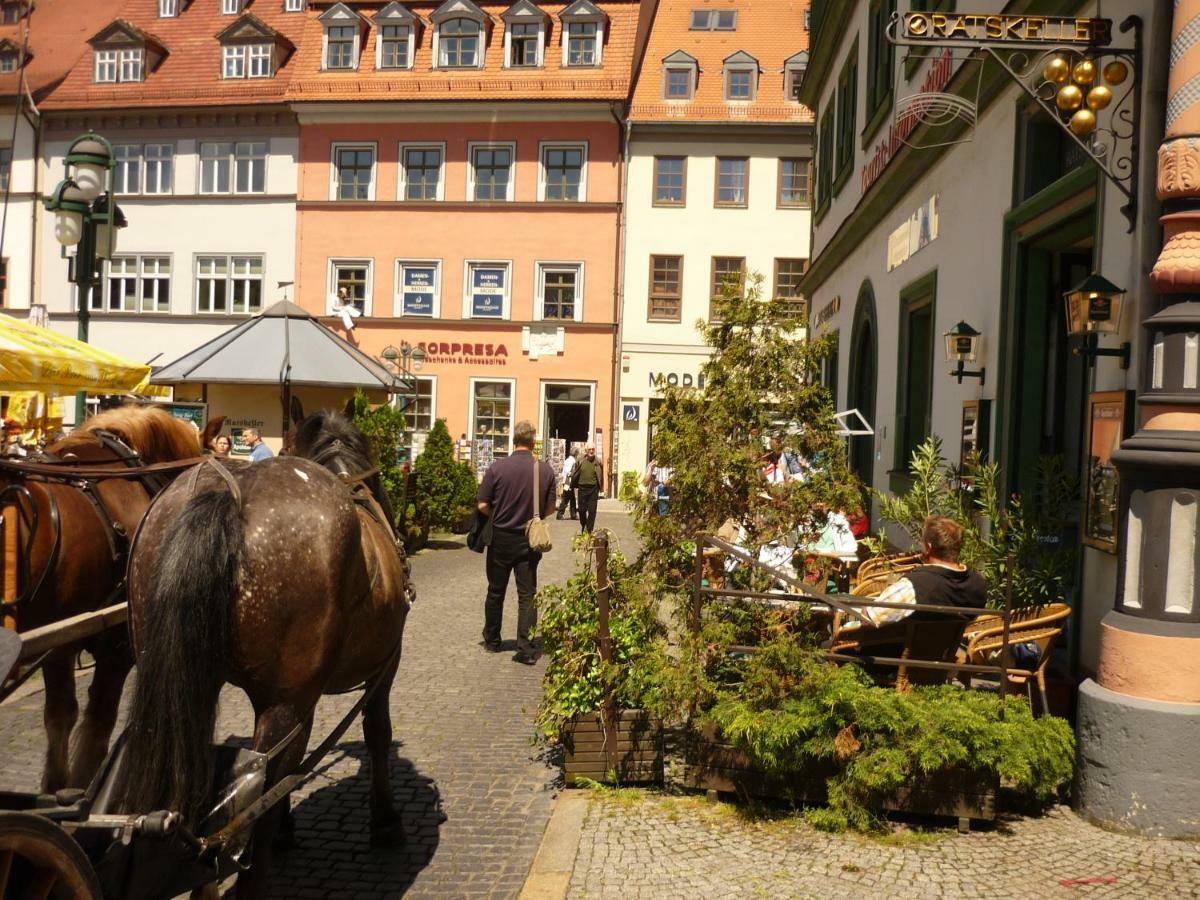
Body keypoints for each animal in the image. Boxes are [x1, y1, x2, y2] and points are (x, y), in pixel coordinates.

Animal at [5, 408, 220, 796]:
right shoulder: (116, 646)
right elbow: (98, 722)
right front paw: (74, 792)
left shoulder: (59, 641)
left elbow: (60, 715)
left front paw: (55, 788)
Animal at [112, 400, 412, 900]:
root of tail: (229, 495)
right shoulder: (383, 667)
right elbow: (377, 733)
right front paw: (386, 821)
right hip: (286, 705)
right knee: (261, 797)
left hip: (180, 685)